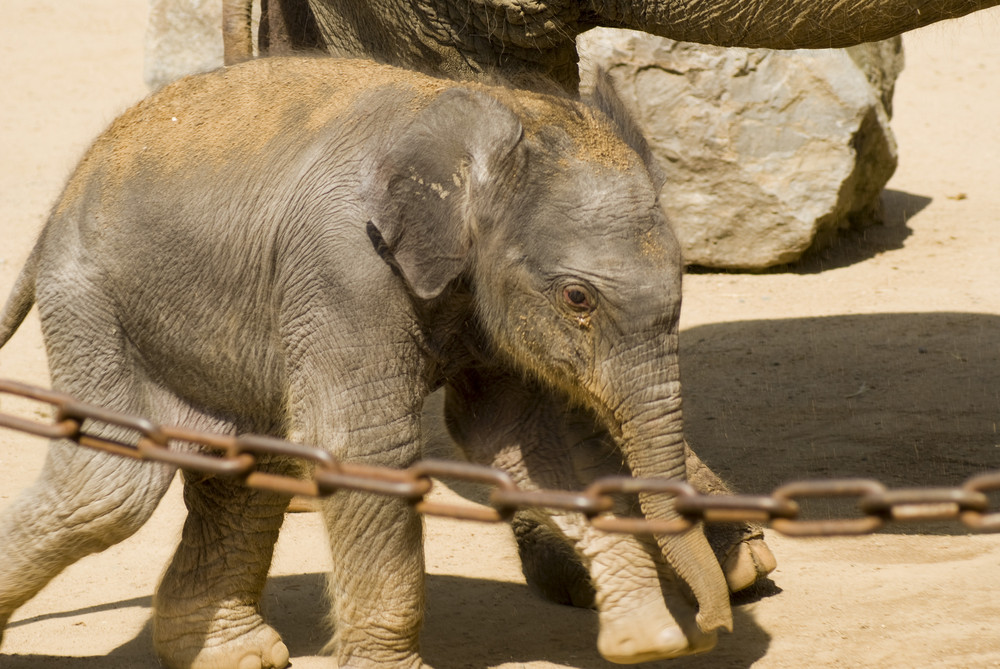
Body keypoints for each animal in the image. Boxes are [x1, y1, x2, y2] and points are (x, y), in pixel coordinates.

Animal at [0, 58, 760, 668]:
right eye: (578, 298)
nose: (712, 626)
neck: (491, 118)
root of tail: (60, 201)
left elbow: (518, 444)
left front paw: (645, 641)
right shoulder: (346, 270)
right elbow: (366, 449)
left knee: (246, 465)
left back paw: (234, 655)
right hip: (92, 300)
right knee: (112, 488)